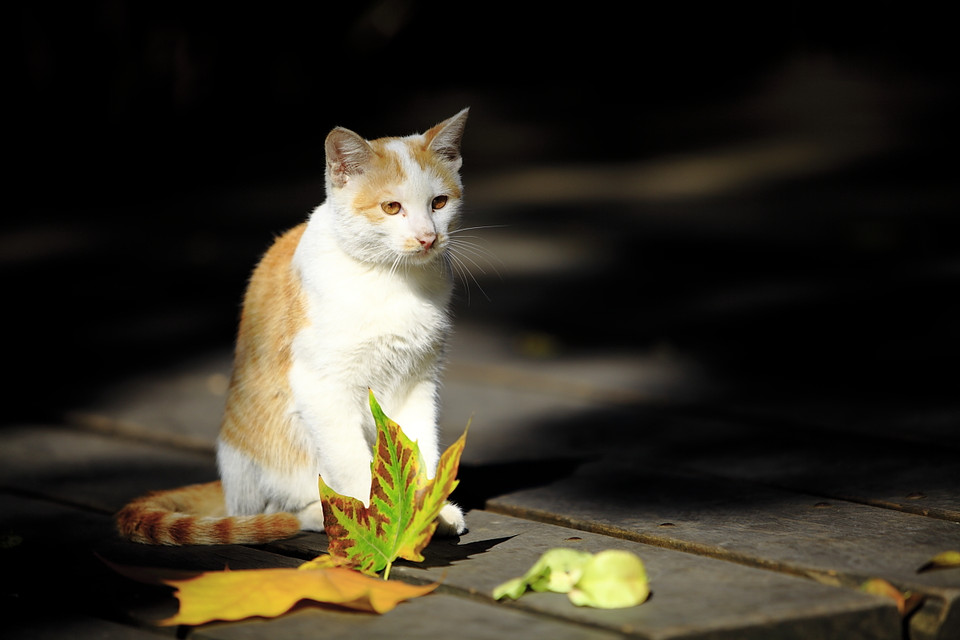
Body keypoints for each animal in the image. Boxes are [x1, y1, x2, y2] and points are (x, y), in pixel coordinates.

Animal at [118, 109, 470, 544]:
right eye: (392, 207)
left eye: (439, 203)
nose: (427, 237)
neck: (392, 280)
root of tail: (228, 490)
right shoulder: (322, 387)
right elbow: (353, 463)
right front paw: (376, 524)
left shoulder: (419, 380)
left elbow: (419, 448)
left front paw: (425, 513)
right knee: (275, 508)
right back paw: (319, 515)